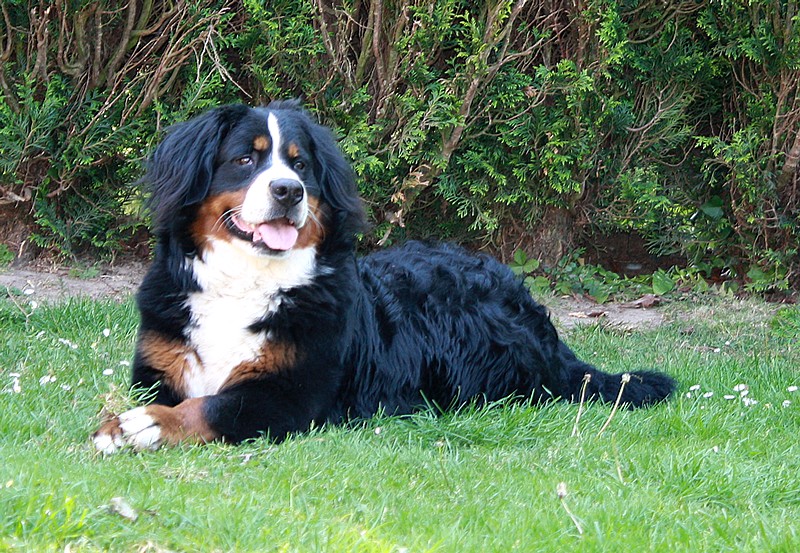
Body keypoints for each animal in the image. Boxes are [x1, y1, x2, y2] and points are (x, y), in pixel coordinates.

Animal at [90, 100, 676, 452]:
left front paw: (144, 425)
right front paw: (125, 420)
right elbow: (172, 395)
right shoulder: (160, 368)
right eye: (244, 160)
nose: (288, 191)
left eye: (300, 165)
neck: (246, 282)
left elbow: (206, 407)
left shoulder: (286, 394)